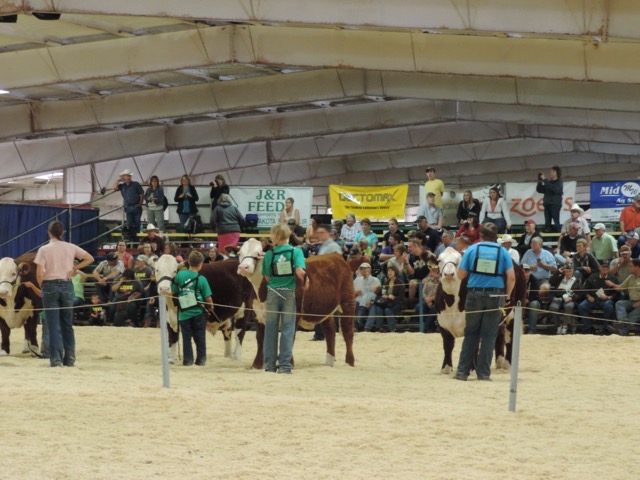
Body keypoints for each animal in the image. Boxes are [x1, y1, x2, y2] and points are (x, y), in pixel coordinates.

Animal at [236, 238, 356, 370]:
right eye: (239, 253)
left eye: (258, 254)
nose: (243, 267)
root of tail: (336, 255)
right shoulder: (258, 314)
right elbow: (260, 338)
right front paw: (257, 365)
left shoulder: (294, 313)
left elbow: (289, 336)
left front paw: (288, 363)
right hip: (324, 307)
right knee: (330, 329)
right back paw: (329, 362)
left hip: (348, 301)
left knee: (348, 331)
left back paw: (349, 362)